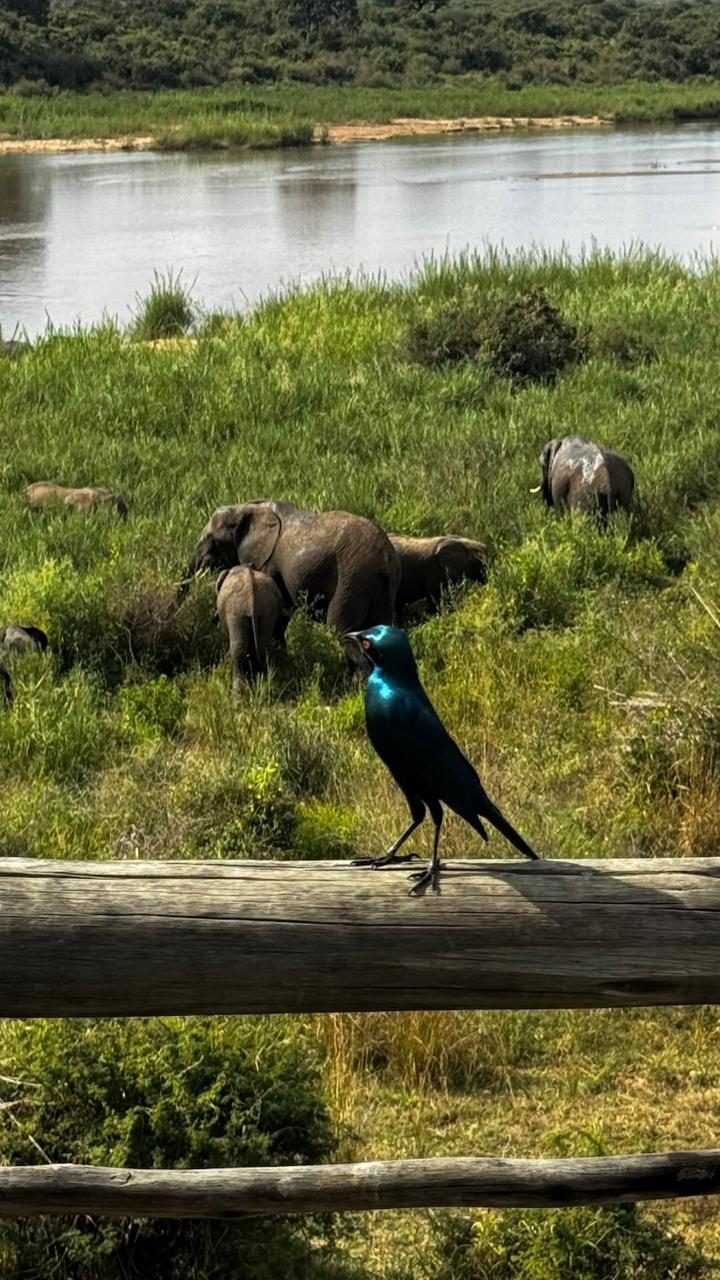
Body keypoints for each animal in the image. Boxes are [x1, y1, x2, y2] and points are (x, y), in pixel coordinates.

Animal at [179, 500, 400, 639]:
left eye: (211, 539)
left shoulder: (268, 562)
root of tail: (385, 559)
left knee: (339, 625)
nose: (213, 621)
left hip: (352, 579)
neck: (246, 507)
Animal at [215, 566, 287, 696]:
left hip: (236, 612)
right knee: (263, 648)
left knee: (238, 649)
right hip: (267, 612)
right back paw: (263, 685)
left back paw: (237, 695)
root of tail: (252, 599)